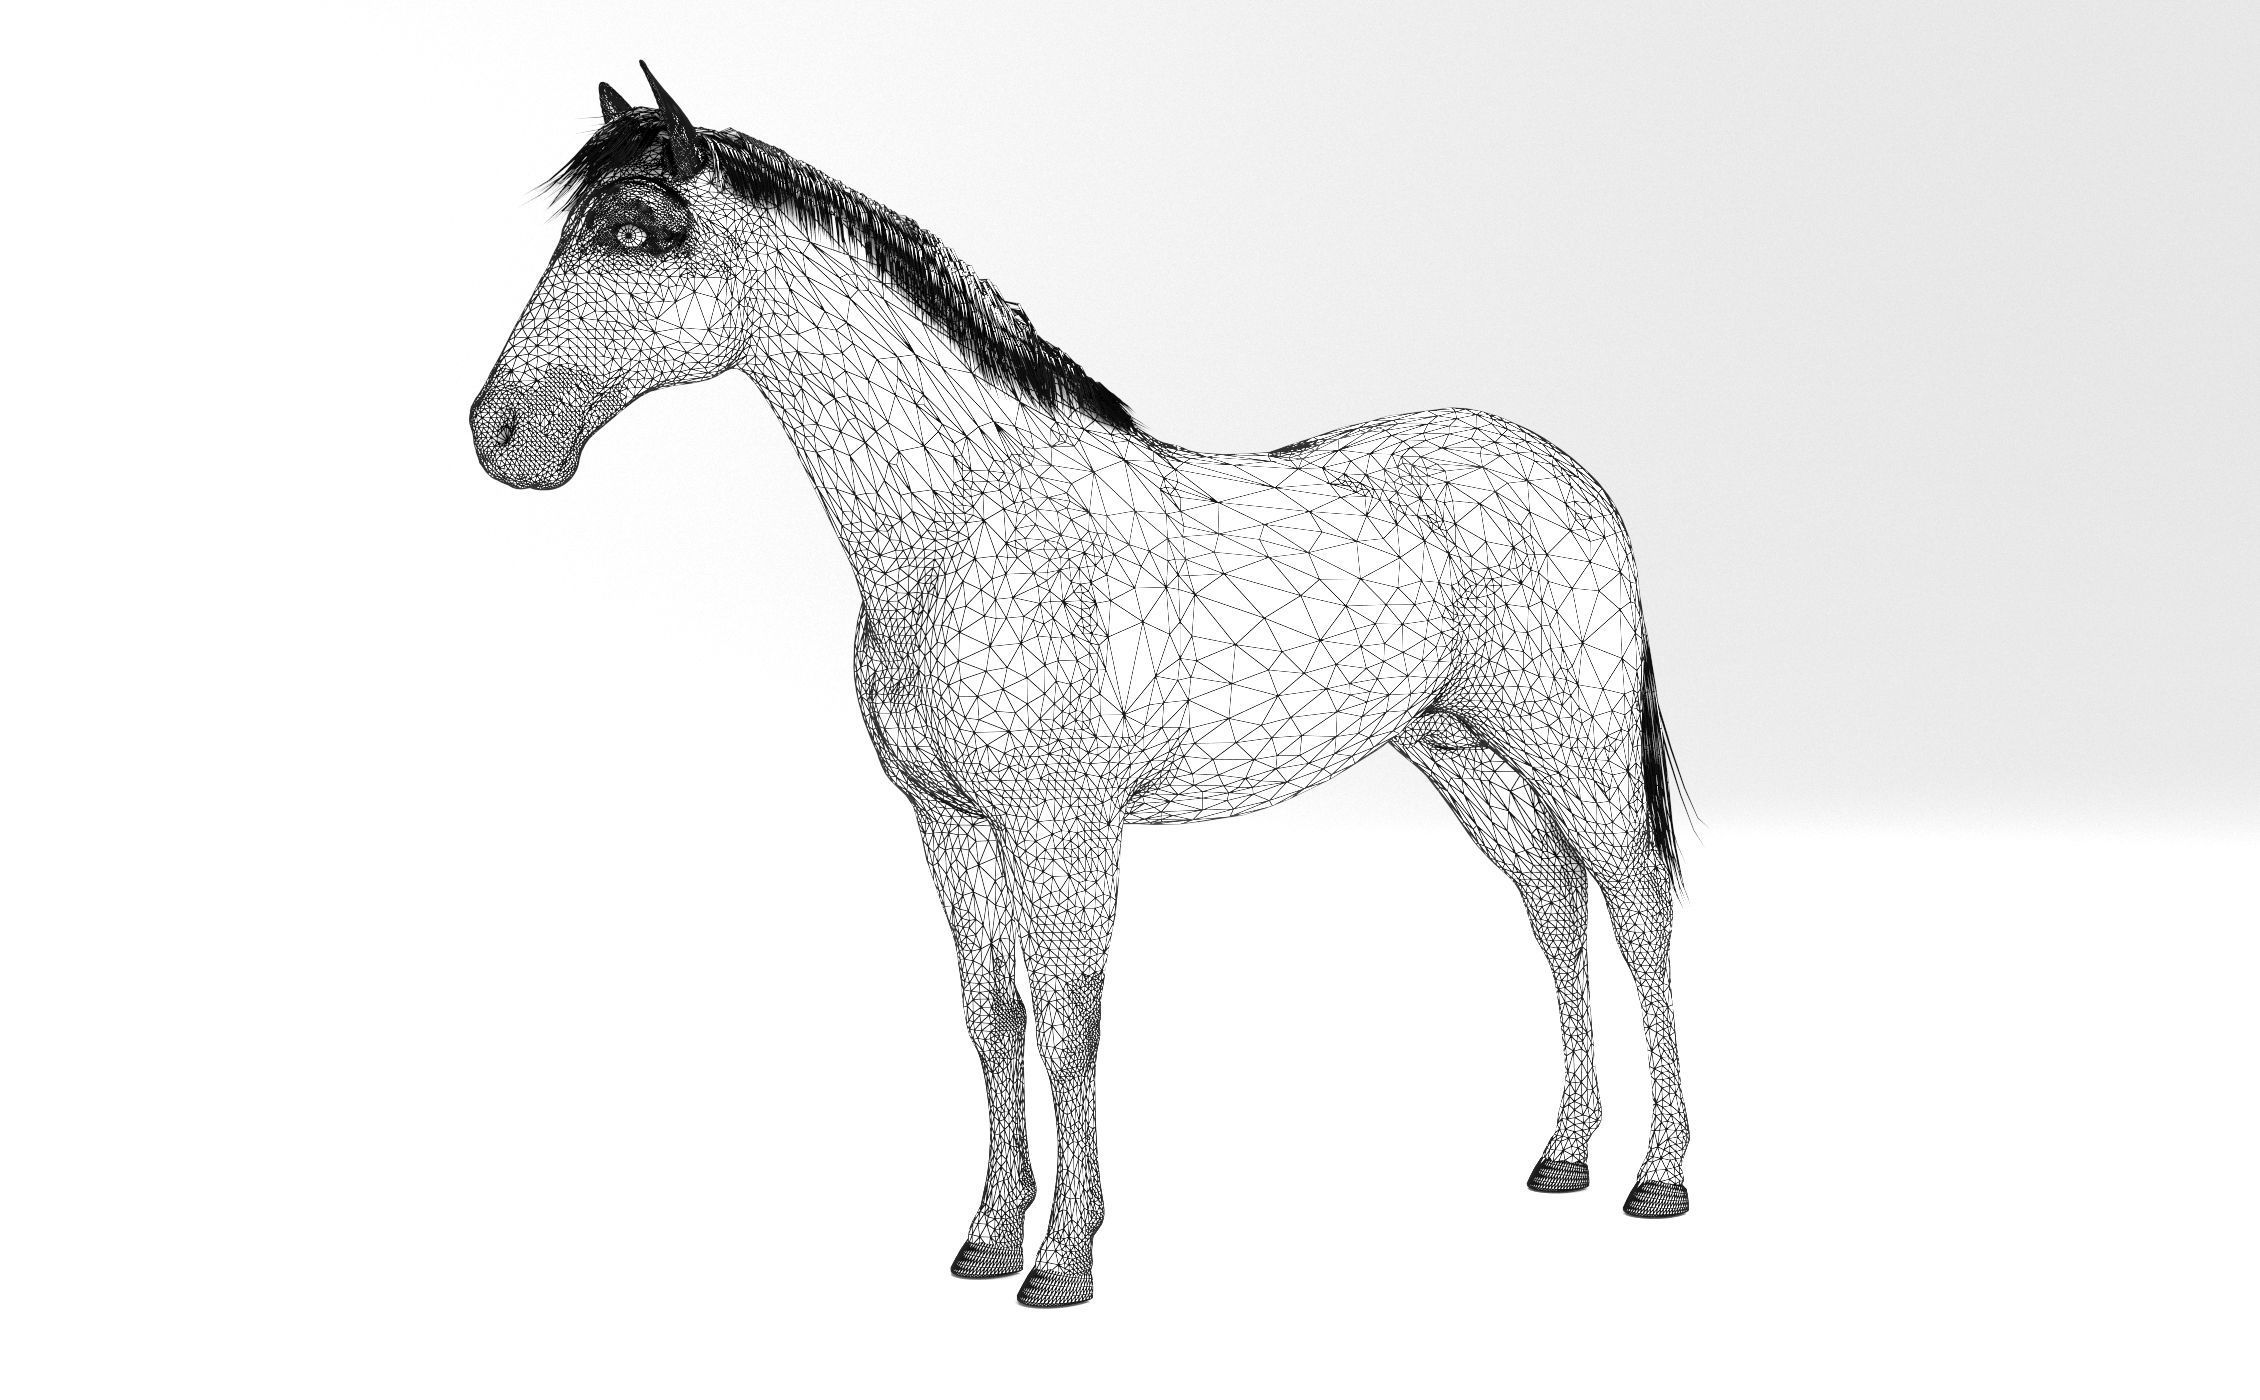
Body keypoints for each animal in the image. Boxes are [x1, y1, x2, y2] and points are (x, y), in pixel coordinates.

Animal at [470, 65, 1694, 1308]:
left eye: (636, 232)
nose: (500, 433)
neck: (969, 522)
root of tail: (1563, 475)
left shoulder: (1061, 823)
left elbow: (1069, 1022)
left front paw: (1062, 1259)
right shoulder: (951, 823)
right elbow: (990, 1016)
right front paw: (985, 1235)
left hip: (1575, 747)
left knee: (1636, 905)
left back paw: (1657, 1175)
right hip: (1466, 754)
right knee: (1552, 904)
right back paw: (1561, 1154)